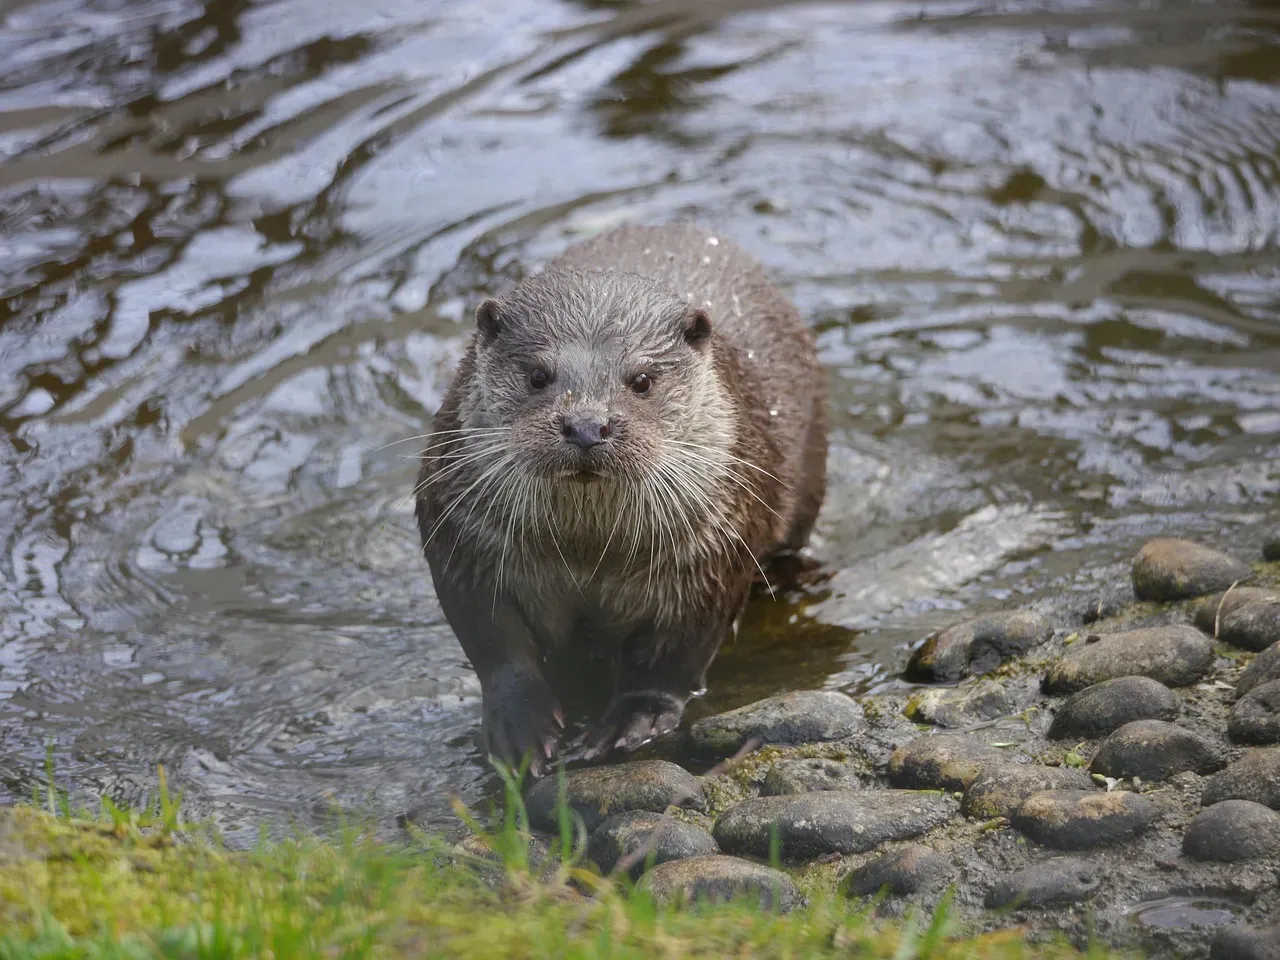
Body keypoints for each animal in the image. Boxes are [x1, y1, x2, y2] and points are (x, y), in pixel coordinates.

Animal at [415, 223, 827, 776]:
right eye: (538, 376)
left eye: (643, 380)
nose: (587, 425)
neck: (590, 555)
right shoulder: (462, 539)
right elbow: (493, 641)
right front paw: (519, 723)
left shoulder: (714, 555)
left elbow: (675, 654)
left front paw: (635, 719)